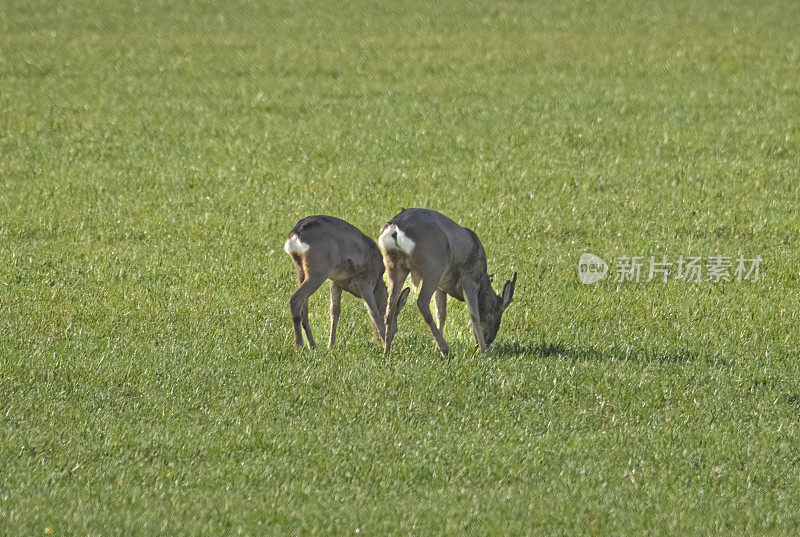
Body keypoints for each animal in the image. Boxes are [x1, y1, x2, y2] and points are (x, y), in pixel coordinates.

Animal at [382, 208, 520, 356]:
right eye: (497, 315)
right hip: (434, 267)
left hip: (394, 264)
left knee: (390, 306)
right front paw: (484, 353)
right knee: (422, 302)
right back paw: (446, 350)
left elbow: (441, 314)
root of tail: (396, 227)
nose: (488, 341)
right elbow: (474, 314)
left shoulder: (441, 287)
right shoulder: (469, 278)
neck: (482, 277)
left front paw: (436, 349)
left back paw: (387, 350)